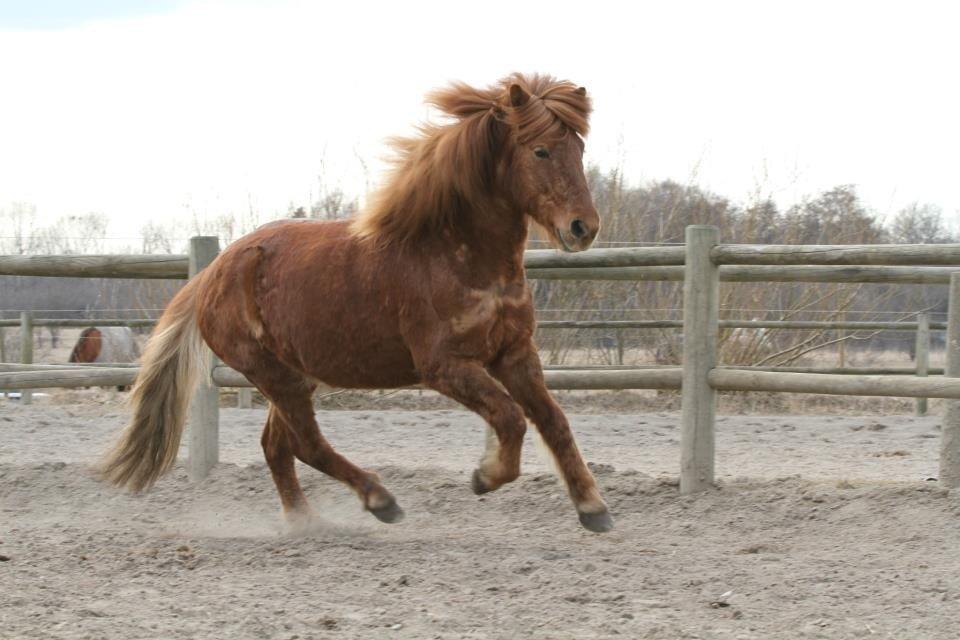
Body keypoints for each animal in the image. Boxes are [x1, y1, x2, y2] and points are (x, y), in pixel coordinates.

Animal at [103, 74, 616, 536]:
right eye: (540, 150)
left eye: (579, 149)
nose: (583, 227)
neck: (458, 254)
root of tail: (211, 273)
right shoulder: (444, 366)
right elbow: (510, 417)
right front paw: (485, 476)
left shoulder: (515, 354)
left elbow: (553, 421)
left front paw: (593, 509)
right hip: (275, 376)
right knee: (306, 445)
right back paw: (380, 501)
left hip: (294, 376)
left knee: (278, 446)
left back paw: (307, 522)